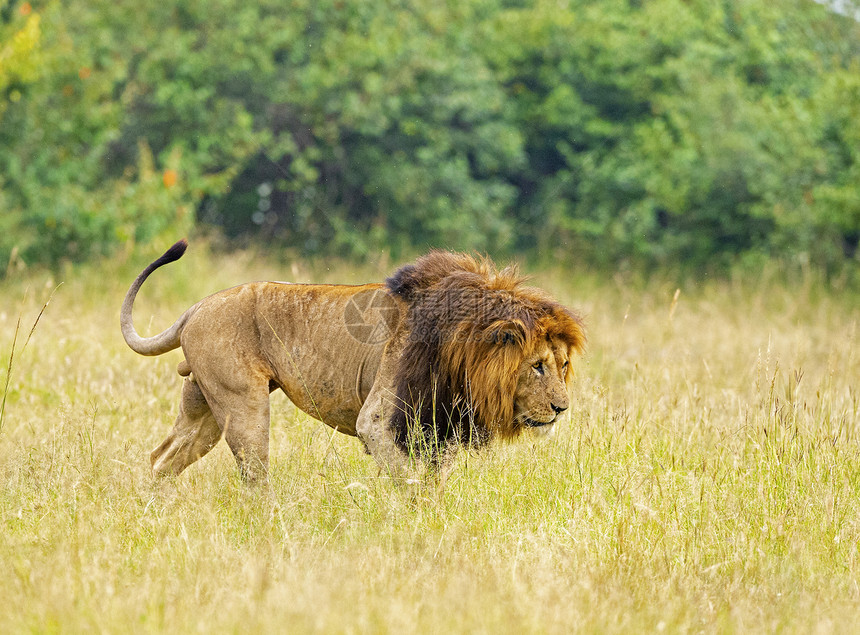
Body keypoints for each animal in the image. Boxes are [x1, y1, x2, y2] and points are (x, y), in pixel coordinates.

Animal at [119, 241, 584, 484]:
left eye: (562, 366)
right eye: (537, 365)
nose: (562, 408)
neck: (463, 352)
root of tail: (195, 308)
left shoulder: (439, 426)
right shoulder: (377, 420)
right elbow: (410, 483)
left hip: (204, 405)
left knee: (161, 459)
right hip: (242, 403)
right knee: (254, 476)